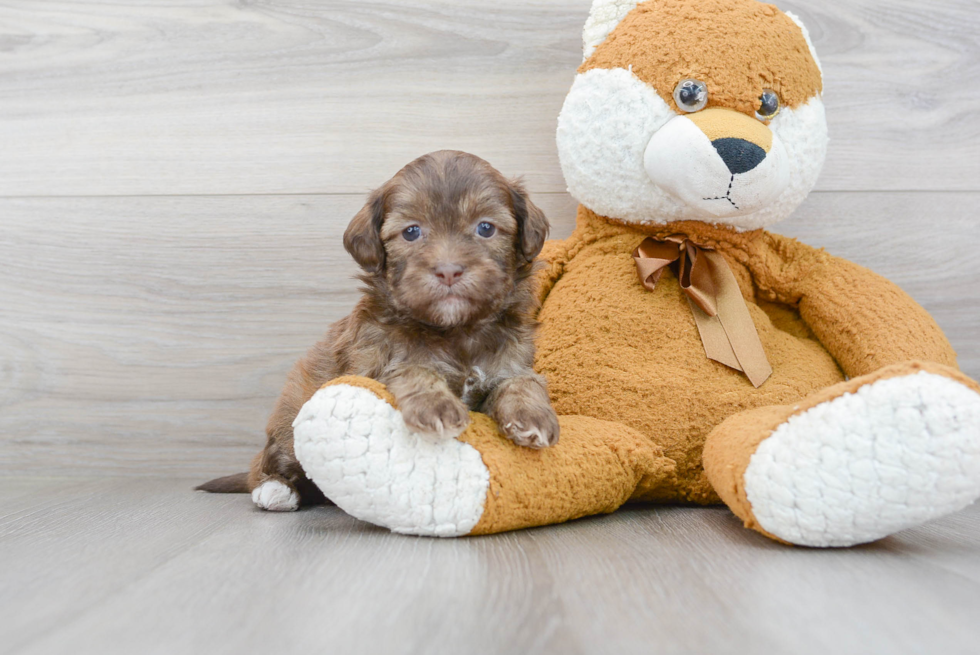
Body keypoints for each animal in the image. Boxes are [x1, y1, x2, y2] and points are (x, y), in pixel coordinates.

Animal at [197, 150, 560, 512]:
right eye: (411, 232)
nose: (448, 271)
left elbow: (522, 382)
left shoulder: (510, 363)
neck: (456, 329)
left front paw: (532, 416)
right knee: (269, 459)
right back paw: (274, 489)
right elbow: (413, 370)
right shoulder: (372, 364)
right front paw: (436, 407)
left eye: (486, 228)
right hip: (290, 417)